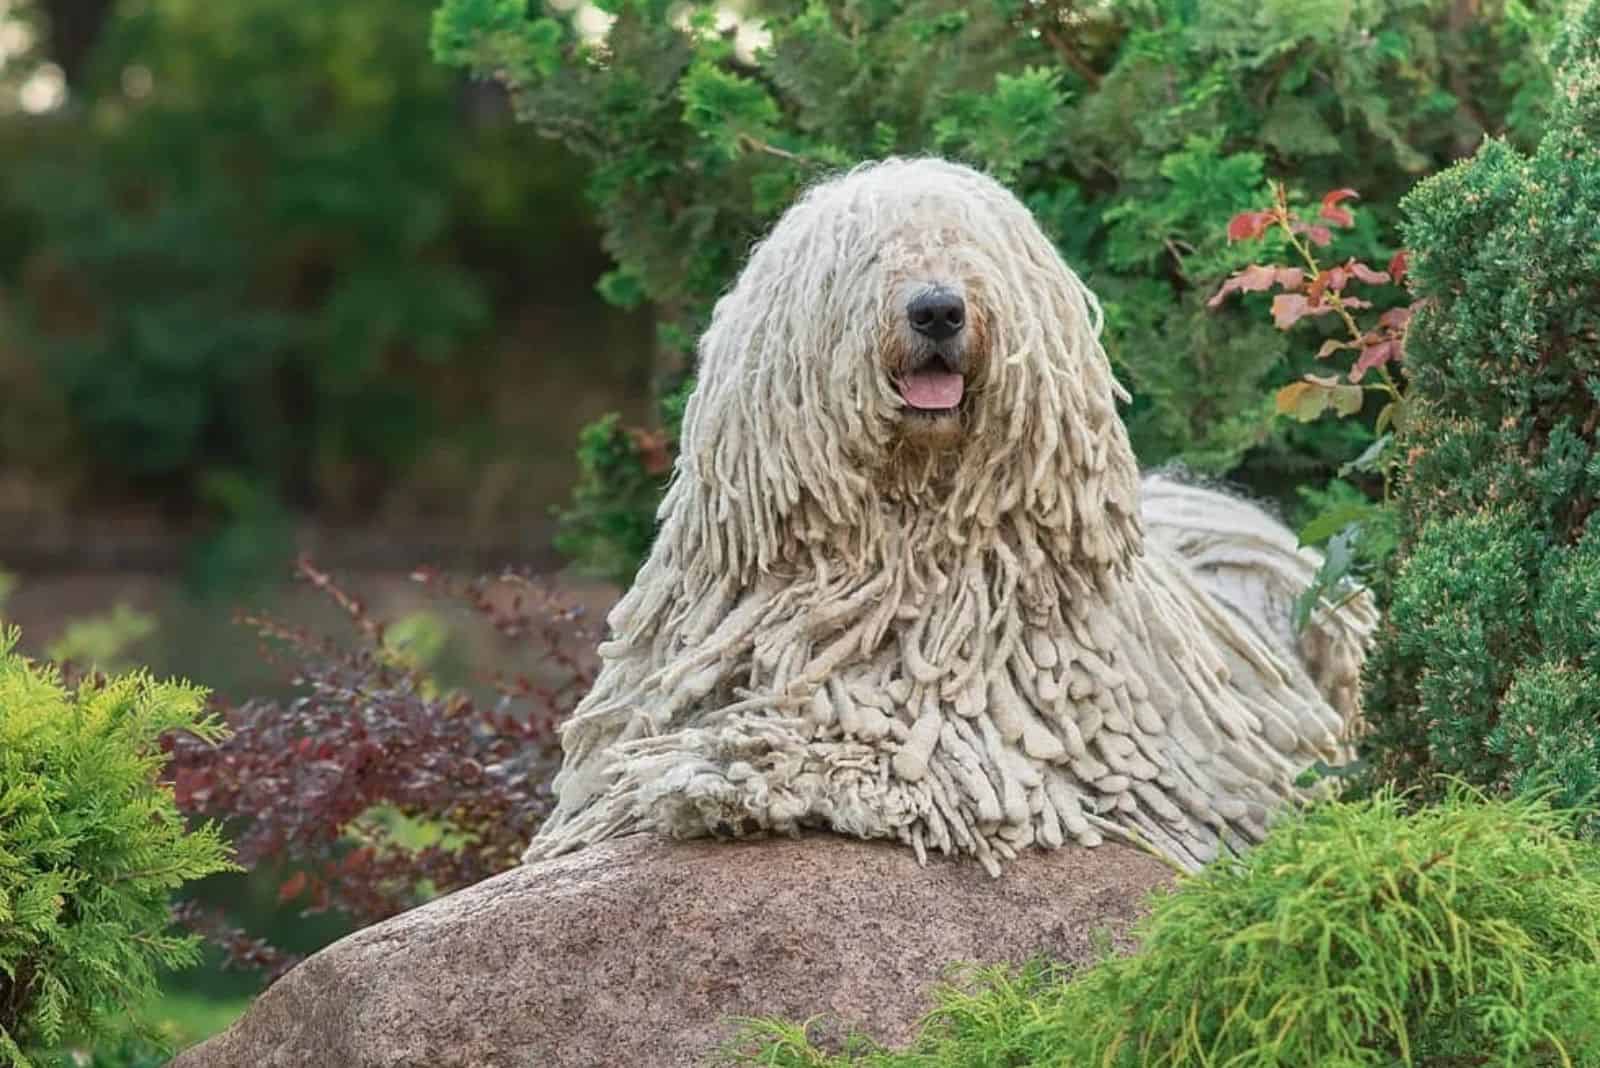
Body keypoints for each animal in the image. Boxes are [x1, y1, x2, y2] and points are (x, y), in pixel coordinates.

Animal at [528, 160, 1376, 876]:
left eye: (974, 252)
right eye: (869, 257)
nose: (938, 308)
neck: (905, 535)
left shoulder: (999, 733)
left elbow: (898, 753)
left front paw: (740, 768)